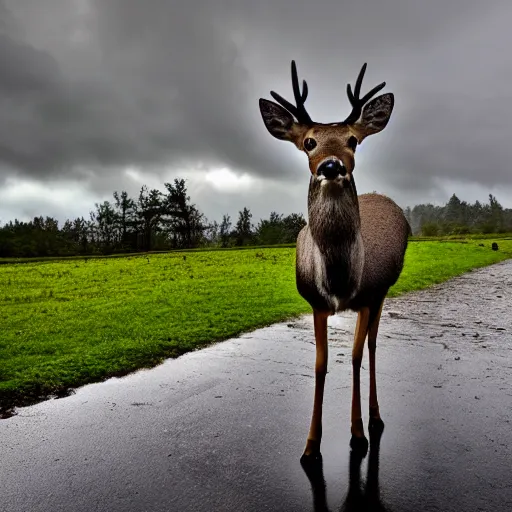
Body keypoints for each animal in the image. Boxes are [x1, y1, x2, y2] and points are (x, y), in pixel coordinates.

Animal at [258, 62, 410, 462]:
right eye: (309, 142)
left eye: (353, 140)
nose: (331, 165)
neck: (341, 282)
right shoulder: (316, 303)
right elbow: (321, 365)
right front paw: (311, 446)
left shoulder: (369, 295)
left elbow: (354, 356)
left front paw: (357, 434)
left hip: (383, 291)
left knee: (371, 345)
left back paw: (374, 418)